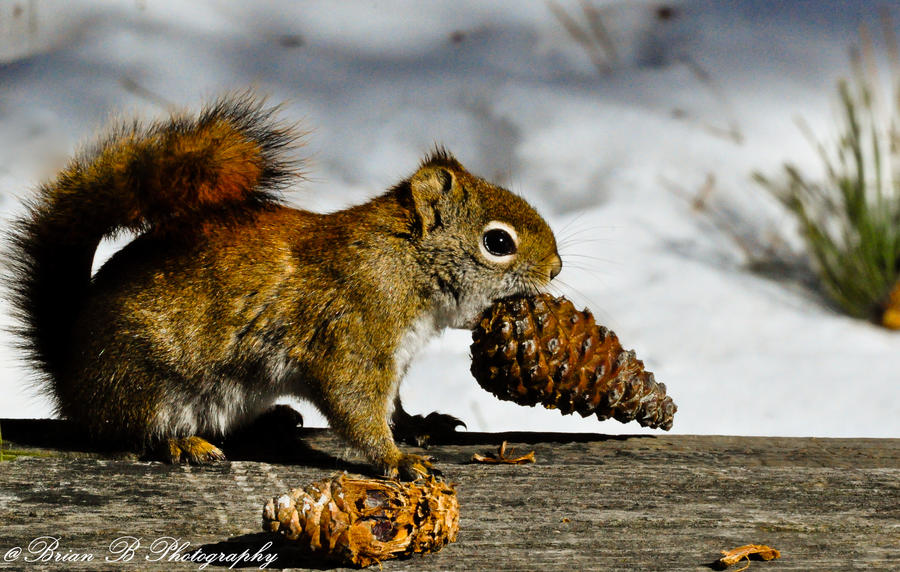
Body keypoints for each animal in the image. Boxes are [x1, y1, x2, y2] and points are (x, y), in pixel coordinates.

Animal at [8, 94, 564, 478]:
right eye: (497, 242)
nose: (556, 269)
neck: (404, 263)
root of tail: (70, 378)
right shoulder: (352, 334)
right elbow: (357, 408)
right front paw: (397, 460)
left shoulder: (394, 357)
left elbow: (392, 406)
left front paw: (419, 425)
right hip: (142, 382)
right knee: (130, 431)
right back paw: (181, 444)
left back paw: (271, 418)